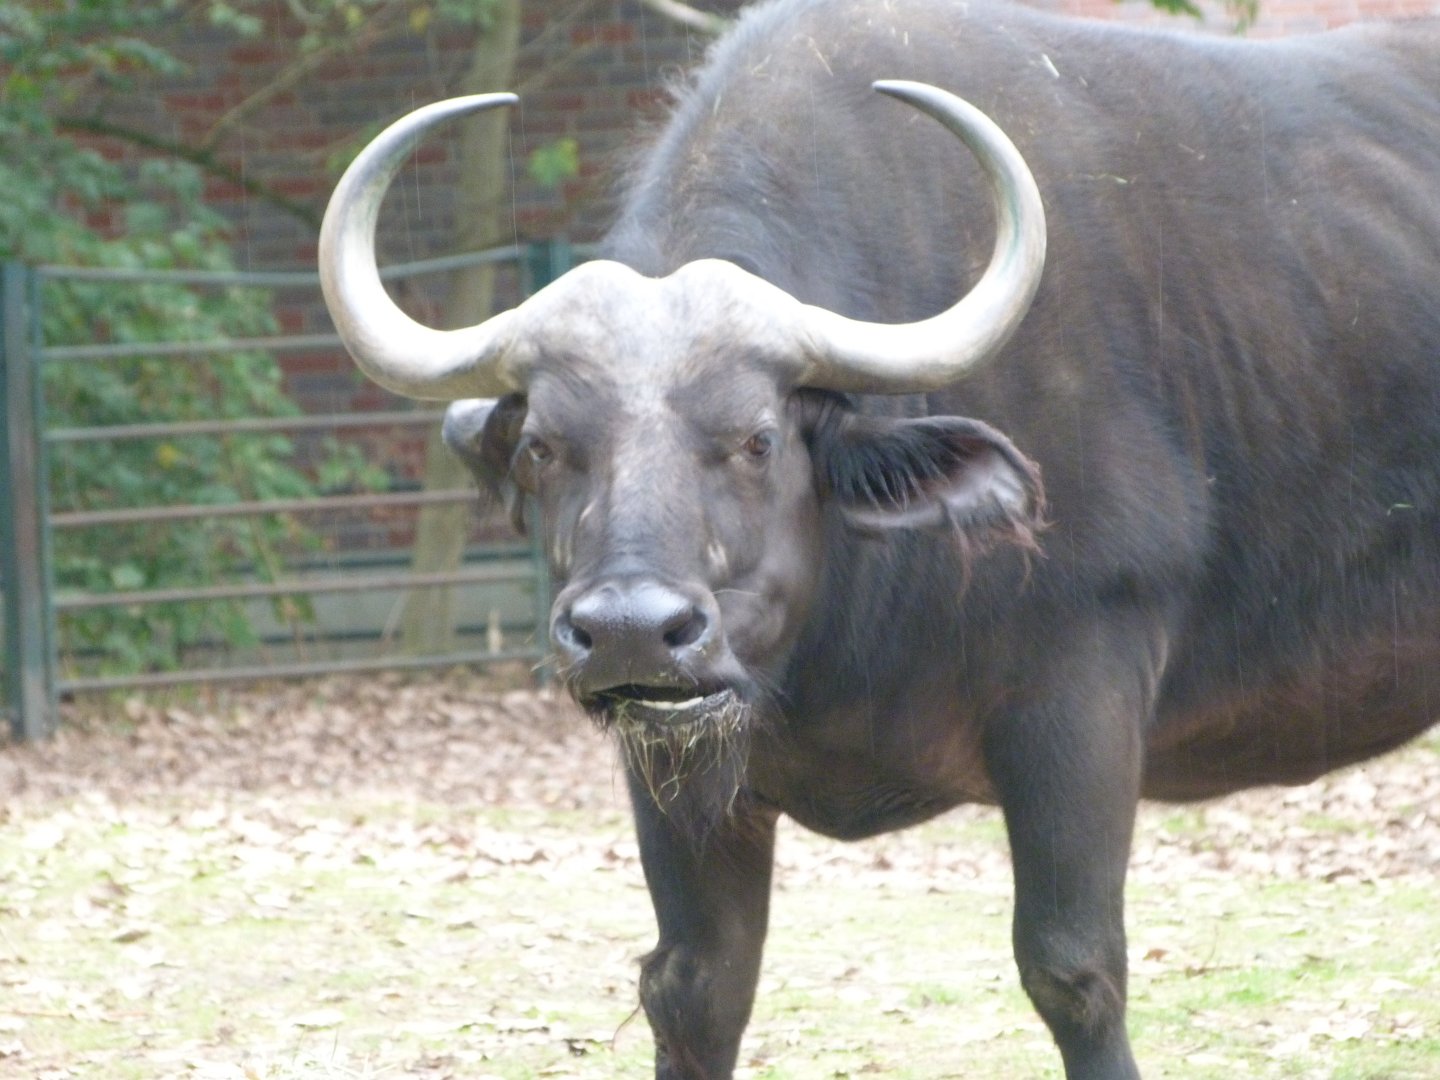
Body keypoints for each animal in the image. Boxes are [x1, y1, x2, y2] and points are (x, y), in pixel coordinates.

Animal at [318, 0, 1440, 1075]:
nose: (633, 631)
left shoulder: (1081, 701)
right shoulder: (675, 763)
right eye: (545, 445)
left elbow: (1075, 971)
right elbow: (694, 991)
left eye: (758, 438)